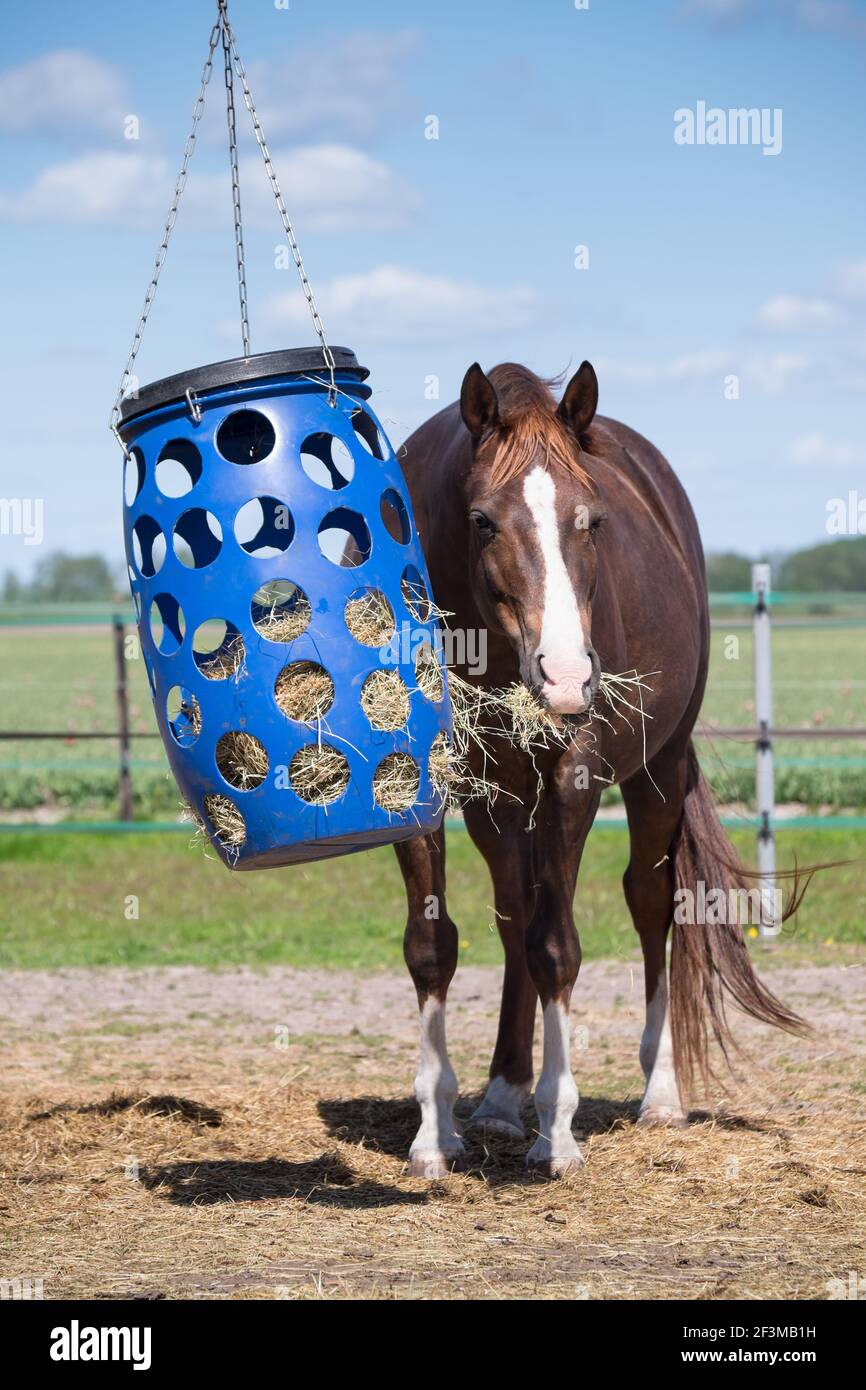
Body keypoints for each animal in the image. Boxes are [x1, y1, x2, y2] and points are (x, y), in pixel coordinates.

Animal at [391, 358, 806, 1173]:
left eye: (593, 521)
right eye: (482, 520)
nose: (565, 679)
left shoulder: (573, 782)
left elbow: (558, 949)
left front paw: (558, 1134)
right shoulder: (418, 784)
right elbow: (435, 949)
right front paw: (434, 1133)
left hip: (657, 773)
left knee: (650, 905)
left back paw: (660, 1094)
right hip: (500, 805)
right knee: (516, 915)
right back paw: (499, 1098)